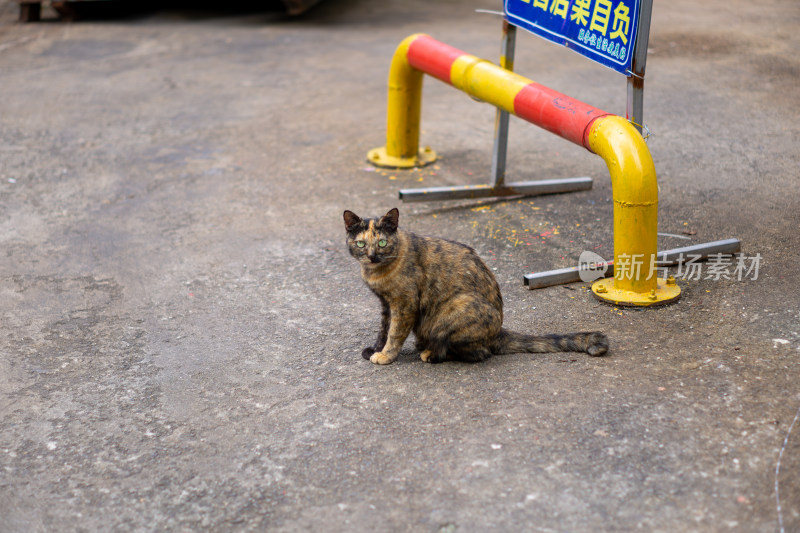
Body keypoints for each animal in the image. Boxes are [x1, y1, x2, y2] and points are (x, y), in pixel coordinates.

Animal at [340, 208, 608, 366]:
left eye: (382, 242)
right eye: (361, 244)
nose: (372, 255)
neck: (377, 272)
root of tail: (498, 330)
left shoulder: (404, 304)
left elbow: (395, 333)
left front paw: (386, 355)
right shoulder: (386, 304)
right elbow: (383, 329)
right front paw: (375, 349)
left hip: (454, 310)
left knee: (478, 353)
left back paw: (431, 353)